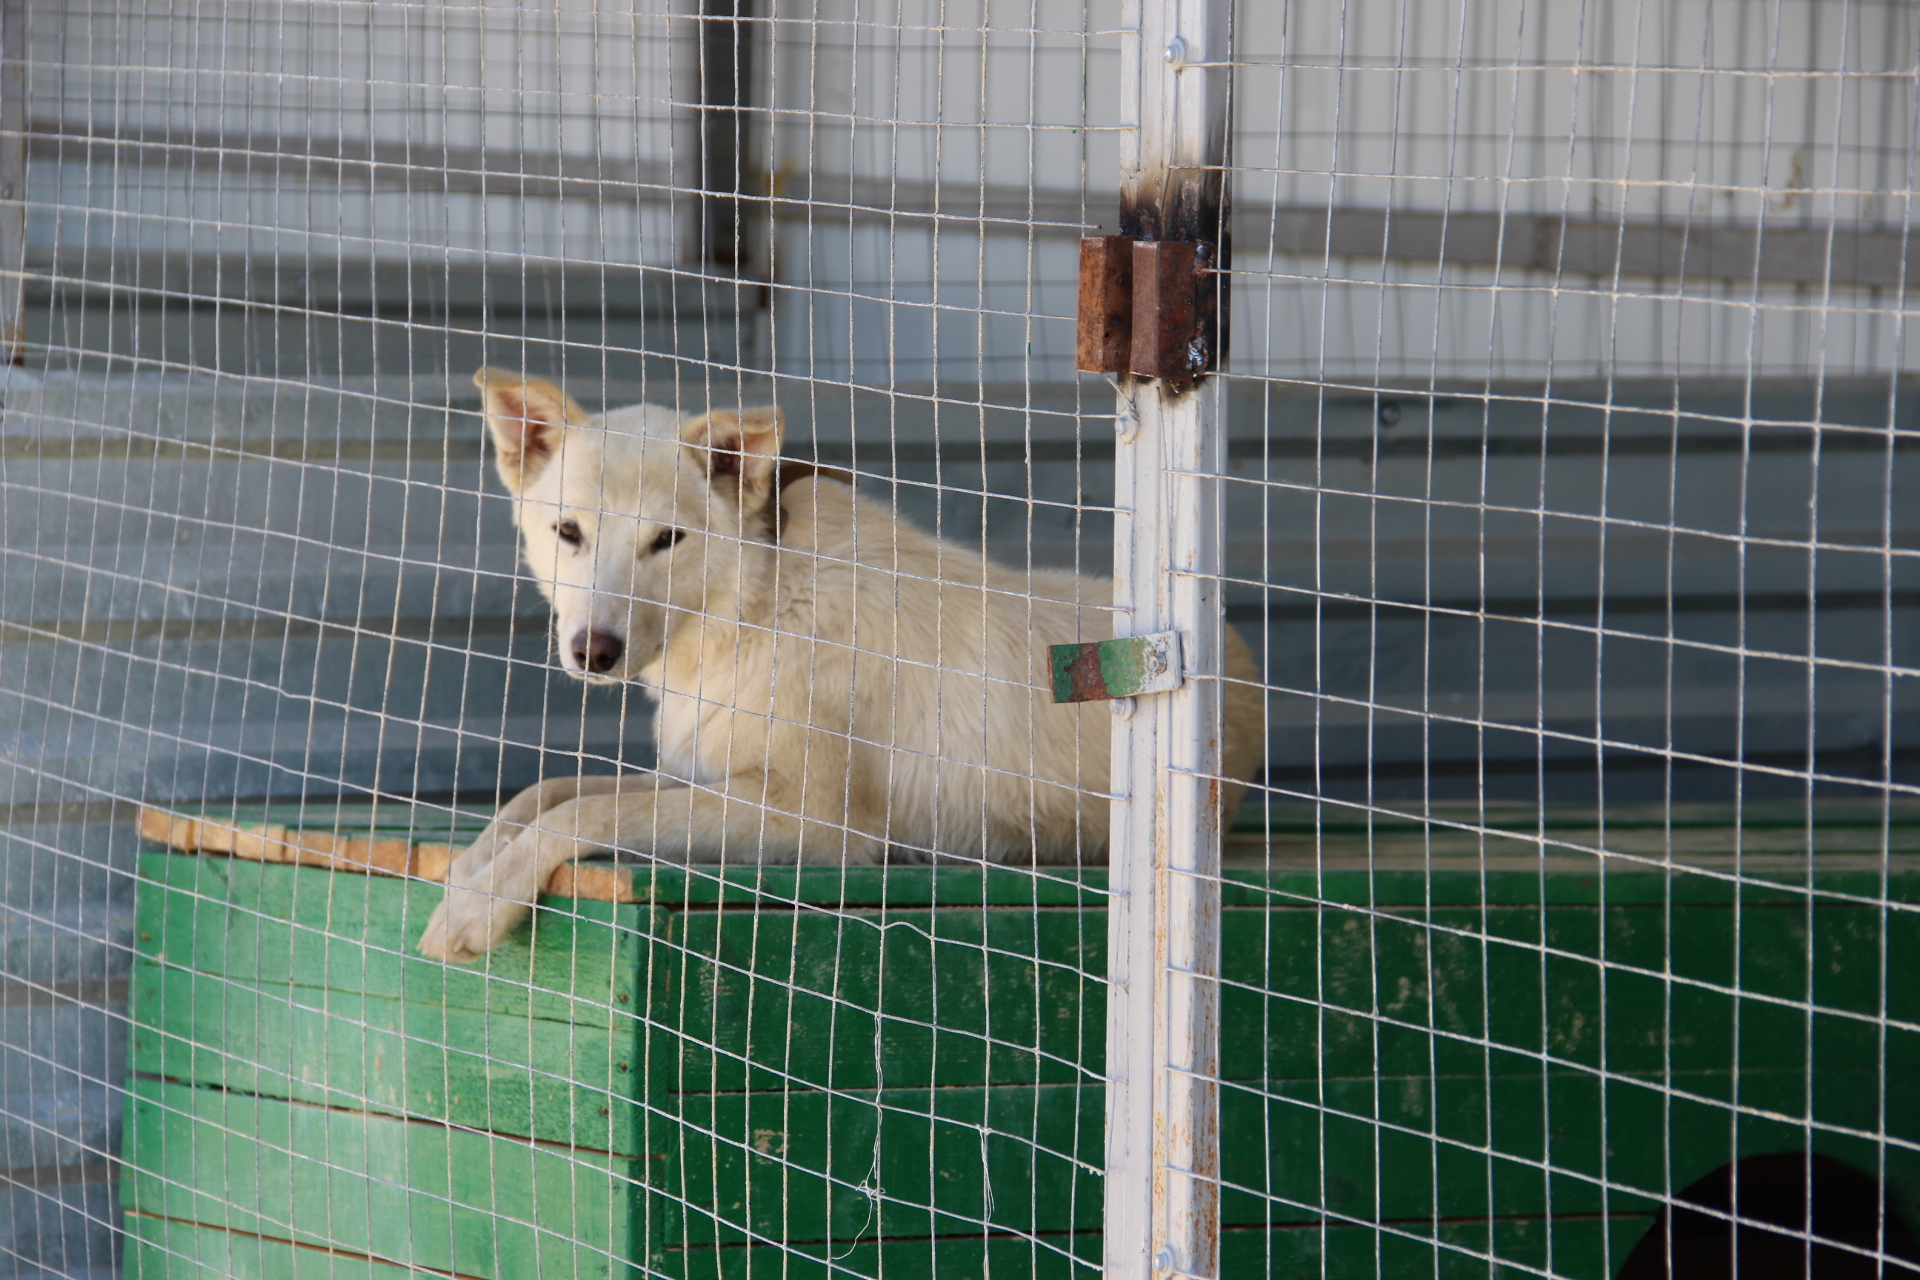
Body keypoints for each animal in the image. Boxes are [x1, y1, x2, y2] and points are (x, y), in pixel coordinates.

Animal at [412, 370, 1267, 959]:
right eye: (569, 532)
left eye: (666, 540)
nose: (594, 651)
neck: (753, 606)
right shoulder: (702, 777)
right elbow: (545, 794)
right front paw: (472, 870)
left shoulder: (810, 823)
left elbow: (579, 815)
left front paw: (479, 906)